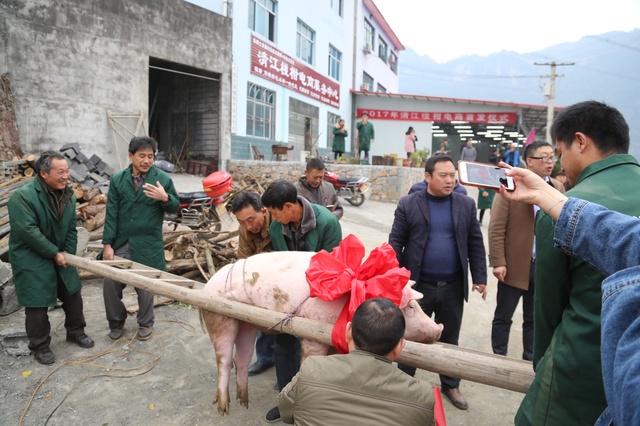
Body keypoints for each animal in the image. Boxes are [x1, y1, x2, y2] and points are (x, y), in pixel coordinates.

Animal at [202, 251, 442, 414]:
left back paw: (244, 403)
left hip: (246, 320)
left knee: (241, 358)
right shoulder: (312, 329)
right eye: (412, 307)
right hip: (218, 314)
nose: (439, 329)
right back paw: (223, 409)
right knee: (224, 358)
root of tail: (207, 285)